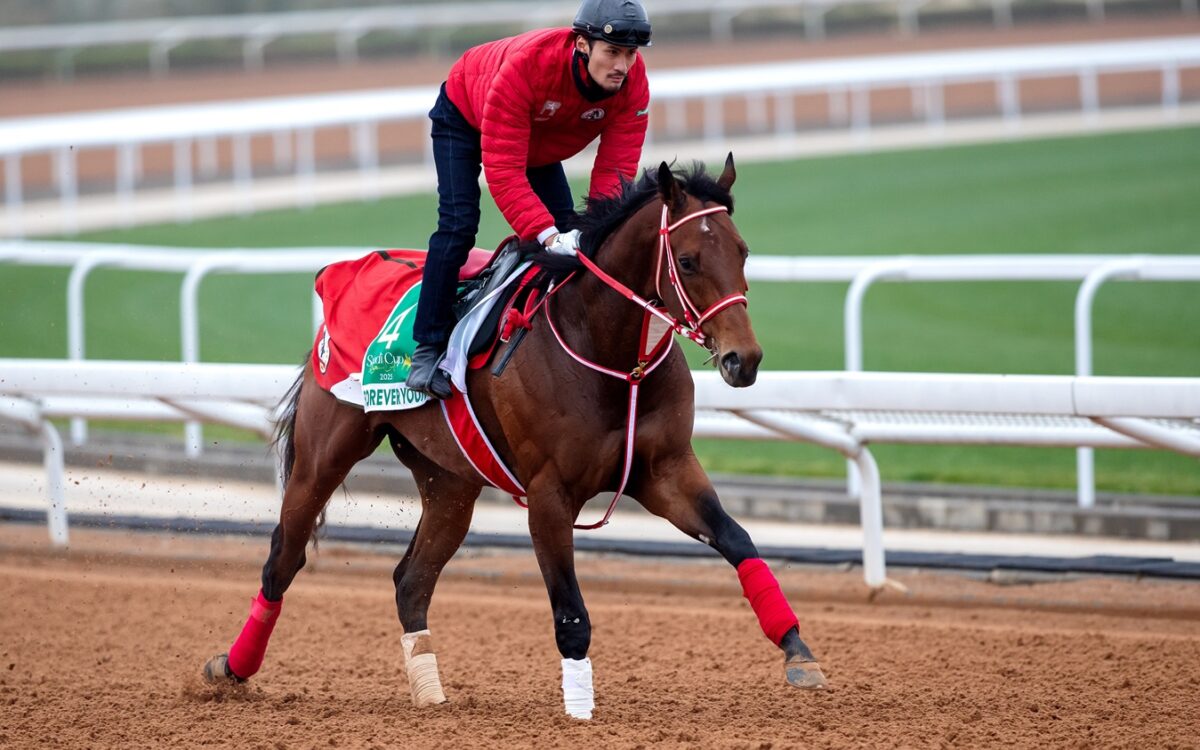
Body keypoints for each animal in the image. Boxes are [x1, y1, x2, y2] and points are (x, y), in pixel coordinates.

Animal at [204, 153, 825, 720]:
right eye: (690, 260)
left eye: (742, 252)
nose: (744, 359)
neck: (610, 356)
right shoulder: (549, 494)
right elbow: (571, 612)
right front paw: (579, 711)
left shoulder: (666, 468)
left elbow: (738, 540)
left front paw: (798, 652)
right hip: (324, 455)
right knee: (283, 560)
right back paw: (230, 668)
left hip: (450, 483)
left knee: (411, 580)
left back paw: (430, 694)